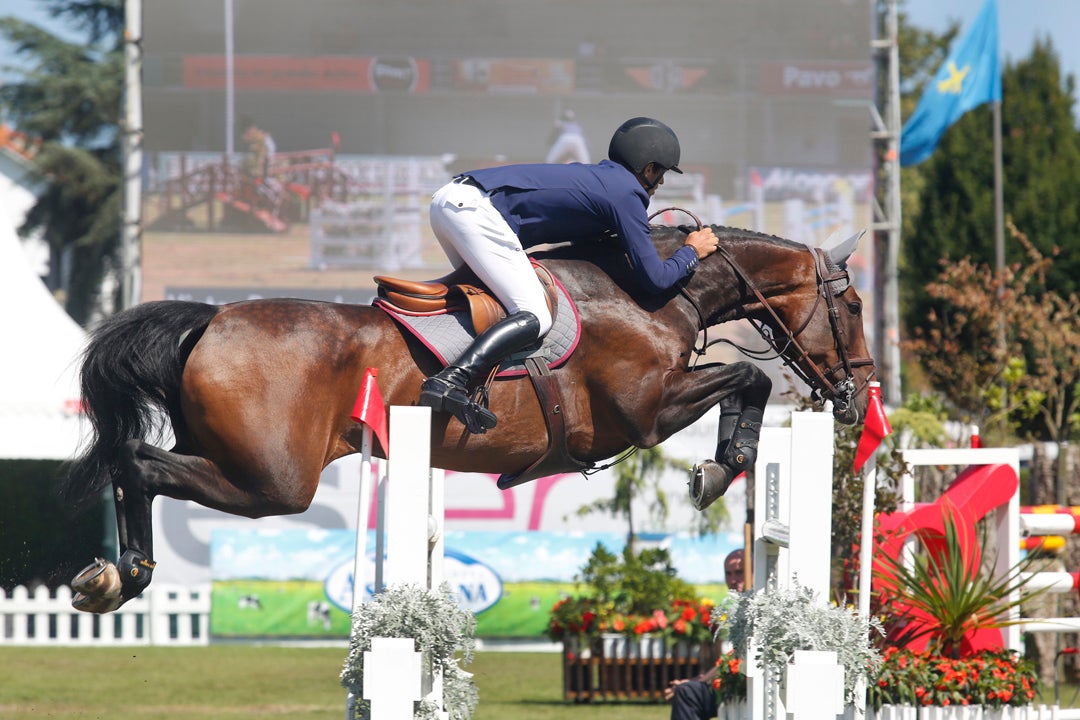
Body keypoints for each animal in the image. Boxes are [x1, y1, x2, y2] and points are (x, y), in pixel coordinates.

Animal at [61, 222, 876, 613]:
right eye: (855, 303)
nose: (858, 394)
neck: (652, 290)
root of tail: (211, 320)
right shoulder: (646, 412)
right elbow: (748, 375)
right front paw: (718, 466)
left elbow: (746, 380)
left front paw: (723, 461)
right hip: (274, 482)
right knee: (137, 460)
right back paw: (122, 575)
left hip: (238, 463)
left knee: (142, 464)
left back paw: (117, 576)